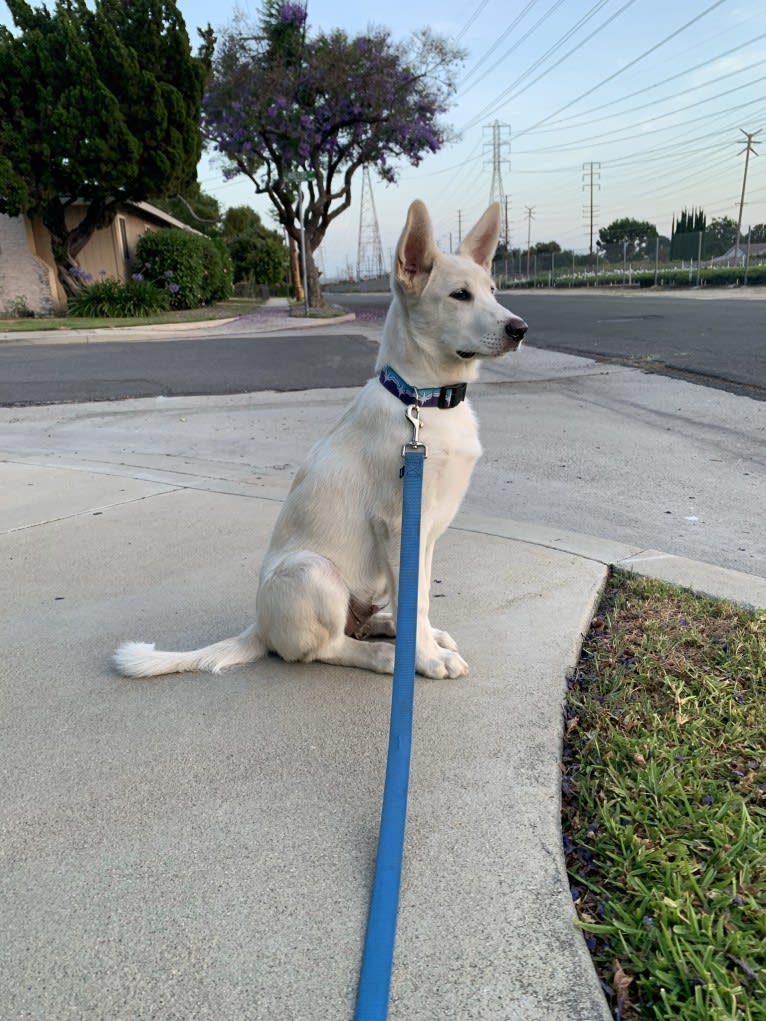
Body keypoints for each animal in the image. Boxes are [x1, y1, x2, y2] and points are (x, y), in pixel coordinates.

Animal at [115, 200, 527, 682]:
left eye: (493, 290)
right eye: (459, 295)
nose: (520, 329)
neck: (421, 400)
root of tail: (260, 627)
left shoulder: (423, 535)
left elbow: (420, 597)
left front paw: (423, 641)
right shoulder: (400, 524)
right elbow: (415, 599)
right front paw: (424, 659)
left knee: (363, 623)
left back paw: (386, 627)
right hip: (314, 571)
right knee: (325, 647)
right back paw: (384, 657)